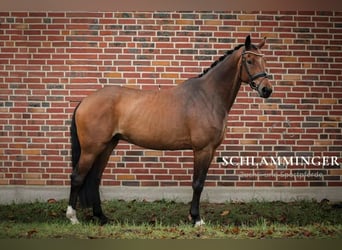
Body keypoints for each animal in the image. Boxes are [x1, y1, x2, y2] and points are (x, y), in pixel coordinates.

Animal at [65, 35, 272, 227]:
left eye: (264, 60)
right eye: (249, 60)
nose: (267, 90)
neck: (208, 96)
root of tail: (85, 101)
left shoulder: (210, 150)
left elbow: (199, 182)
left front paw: (192, 216)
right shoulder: (202, 149)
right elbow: (198, 183)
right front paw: (197, 219)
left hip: (107, 146)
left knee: (95, 179)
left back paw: (101, 217)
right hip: (91, 149)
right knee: (77, 177)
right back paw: (72, 217)